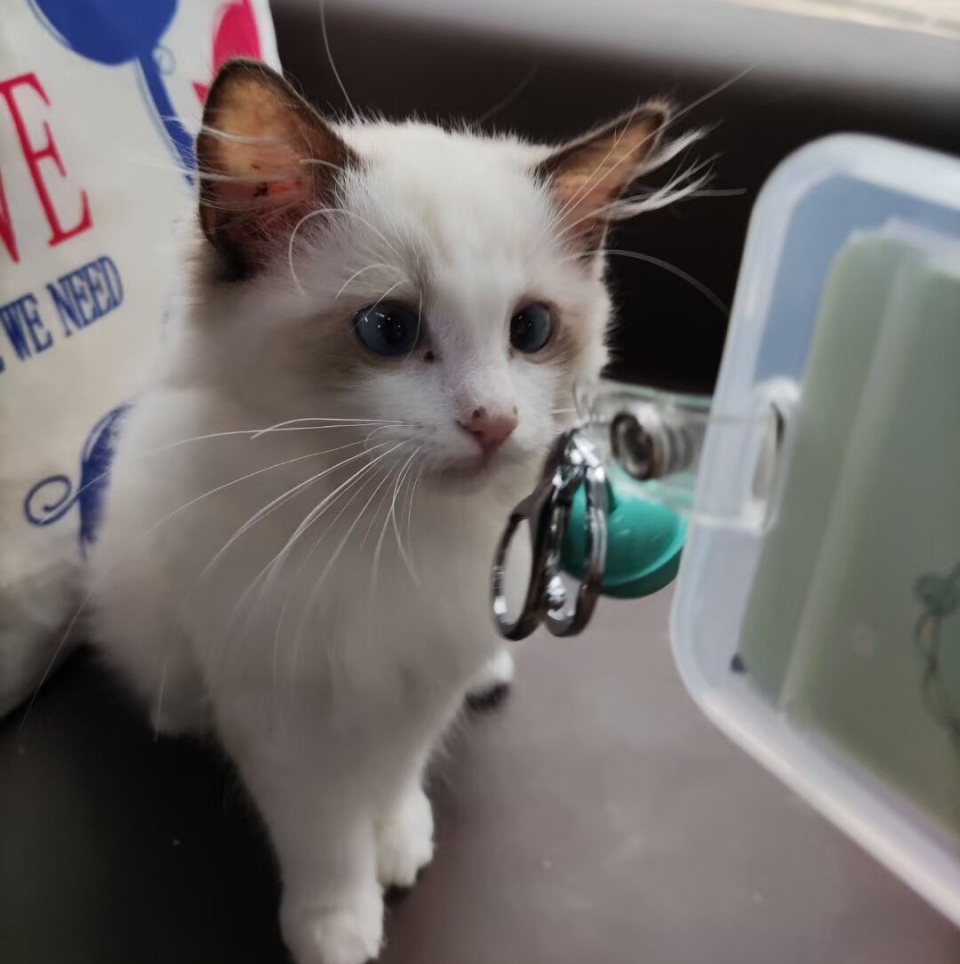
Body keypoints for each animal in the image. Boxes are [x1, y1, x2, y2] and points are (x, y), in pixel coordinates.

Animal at [89, 58, 691, 964]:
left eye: (530, 329)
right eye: (387, 329)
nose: (494, 421)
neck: (388, 535)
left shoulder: (426, 678)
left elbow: (393, 777)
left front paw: (397, 843)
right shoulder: (275, 705)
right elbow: (320, 831)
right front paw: (338, 920)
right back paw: (176, 712)